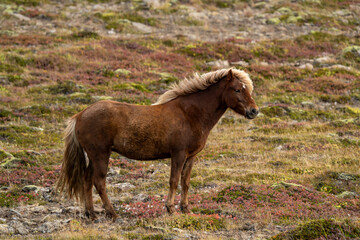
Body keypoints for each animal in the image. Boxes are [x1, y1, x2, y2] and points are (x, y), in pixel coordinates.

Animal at [56, 68, 258, 221]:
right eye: (237, 89)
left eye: (247, 89)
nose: (254, 111)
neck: (190, 114)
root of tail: (79, 116)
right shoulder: (178, 154)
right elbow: (174, 181)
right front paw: (170, 209)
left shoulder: (191, 156)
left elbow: (185, 182)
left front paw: (186, 208)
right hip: (100, 155)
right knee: (99, 182)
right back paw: (112, 213)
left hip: (94, 156)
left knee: (87, 180)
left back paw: (91, 214)